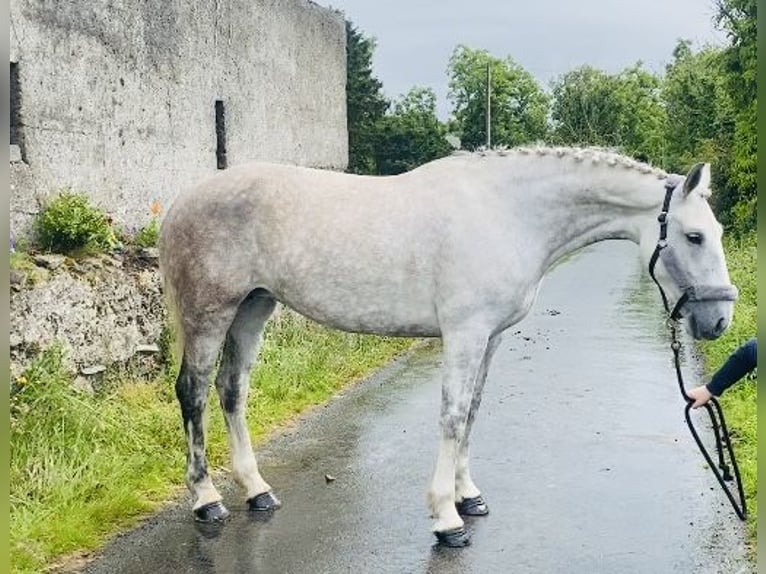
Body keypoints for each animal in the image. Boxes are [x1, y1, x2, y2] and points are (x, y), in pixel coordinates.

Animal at [158, 146, 736, 548]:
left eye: (717, 232)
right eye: (694, 236)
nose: (719, 320)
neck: (509, 213)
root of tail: (182, 201)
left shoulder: (491, 338)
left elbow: (473, 411)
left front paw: (468, 495)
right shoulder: (465, 333)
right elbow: (453, 416)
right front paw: (446, 518)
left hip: (253, 308)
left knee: (232, 390)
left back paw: (257, 491)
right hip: (211, 313)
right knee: (194, 391)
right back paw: (207, 501)